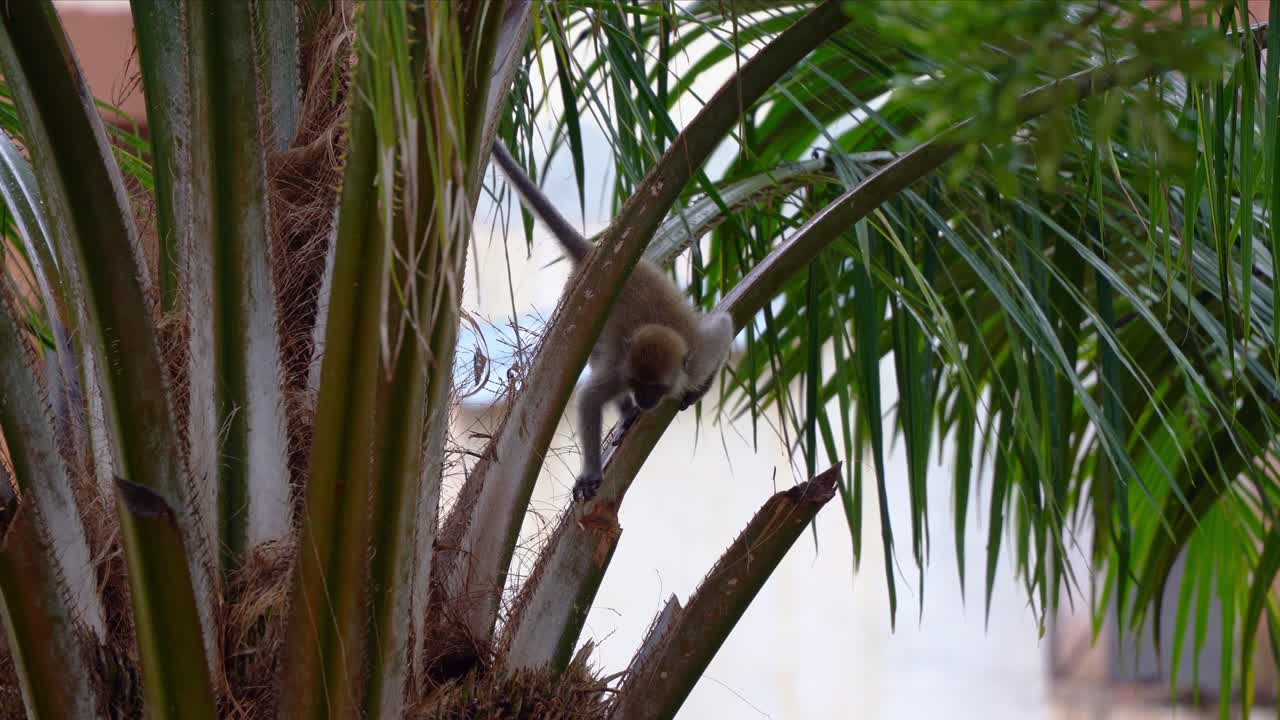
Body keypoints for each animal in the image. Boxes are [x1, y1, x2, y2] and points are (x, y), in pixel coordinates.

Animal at [491, 140, 735, 502]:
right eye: (638, 384)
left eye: (656, 388)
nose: (645, 401)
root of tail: (599, 255)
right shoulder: (622, 371)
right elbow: (589, 399)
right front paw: (591, 472)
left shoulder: (698, 356)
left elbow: (724, 325)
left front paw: (702, 389)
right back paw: (625, 415)